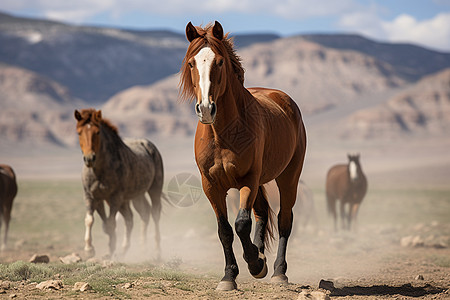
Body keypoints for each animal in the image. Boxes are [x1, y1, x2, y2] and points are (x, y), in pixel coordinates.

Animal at [74, 109, 165, 258]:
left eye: (97, 132)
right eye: (79, 132)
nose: (89, 158)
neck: (99, 170)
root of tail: (150, 146)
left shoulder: (115, 197)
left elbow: (111, 223)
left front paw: (110, 250)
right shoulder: (92, 197)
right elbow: (92, 220)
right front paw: (89, 249)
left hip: (154, 189)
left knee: (154, 214)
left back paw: (157, 251)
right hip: (136, 196)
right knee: (139, 215)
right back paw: (138, 248)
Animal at [178, 21, 306, 290]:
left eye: (219, 62)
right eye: (191, 63)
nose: (206, 109)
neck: (223, 132)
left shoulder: (248, 179)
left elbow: (241, 224)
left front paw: (255, 264)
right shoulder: (211, 185)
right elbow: (225, 230)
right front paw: (230, 276)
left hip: (288, 177)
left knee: (284, 220)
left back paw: (278, 272)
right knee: (262, 213)